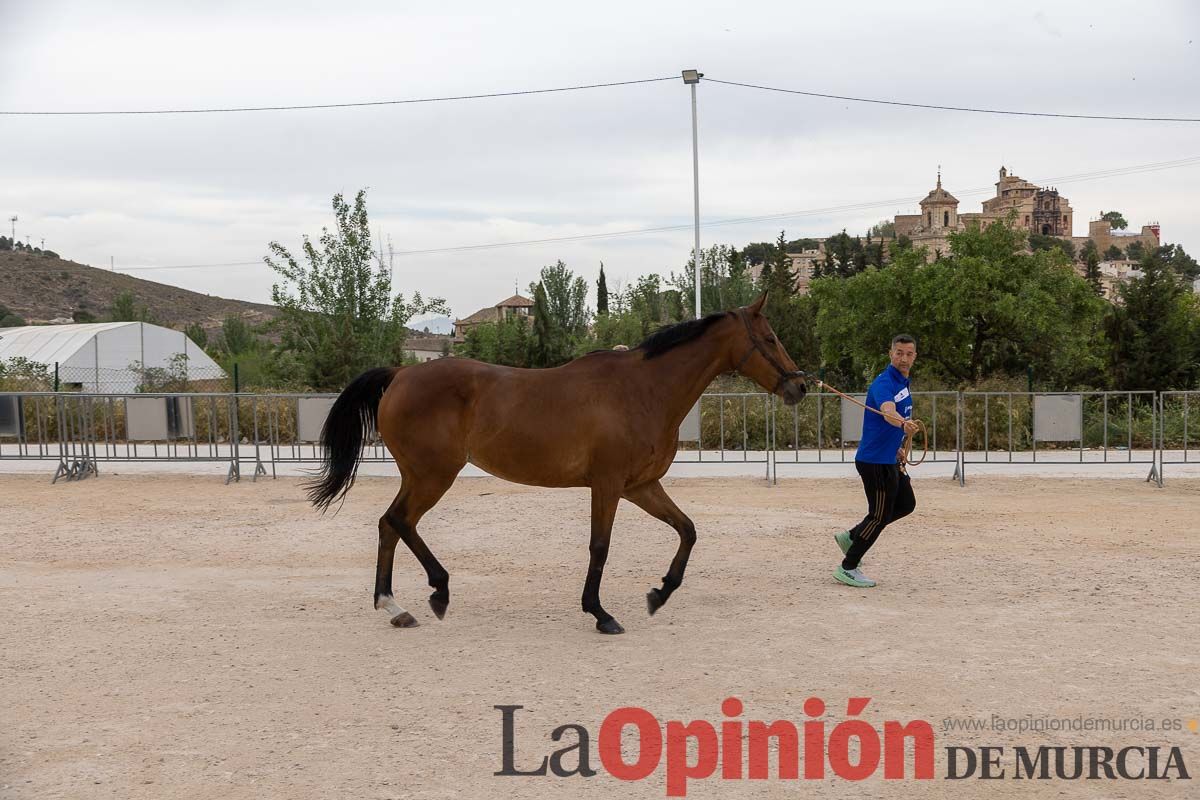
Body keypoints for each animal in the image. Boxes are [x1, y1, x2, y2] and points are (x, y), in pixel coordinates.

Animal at [309, 291, 806, 633]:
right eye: (769, 338)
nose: (799, 386)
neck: (643, 391)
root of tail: (401, 374)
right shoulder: (608, 485)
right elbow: (600, 546)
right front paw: (601, 613)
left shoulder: (640, 486)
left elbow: (687, 530)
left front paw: (659, 594)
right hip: (434, 475)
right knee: (400, 521)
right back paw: (437, 591)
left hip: (418, 475)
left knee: (388, 524)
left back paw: (394, 606)